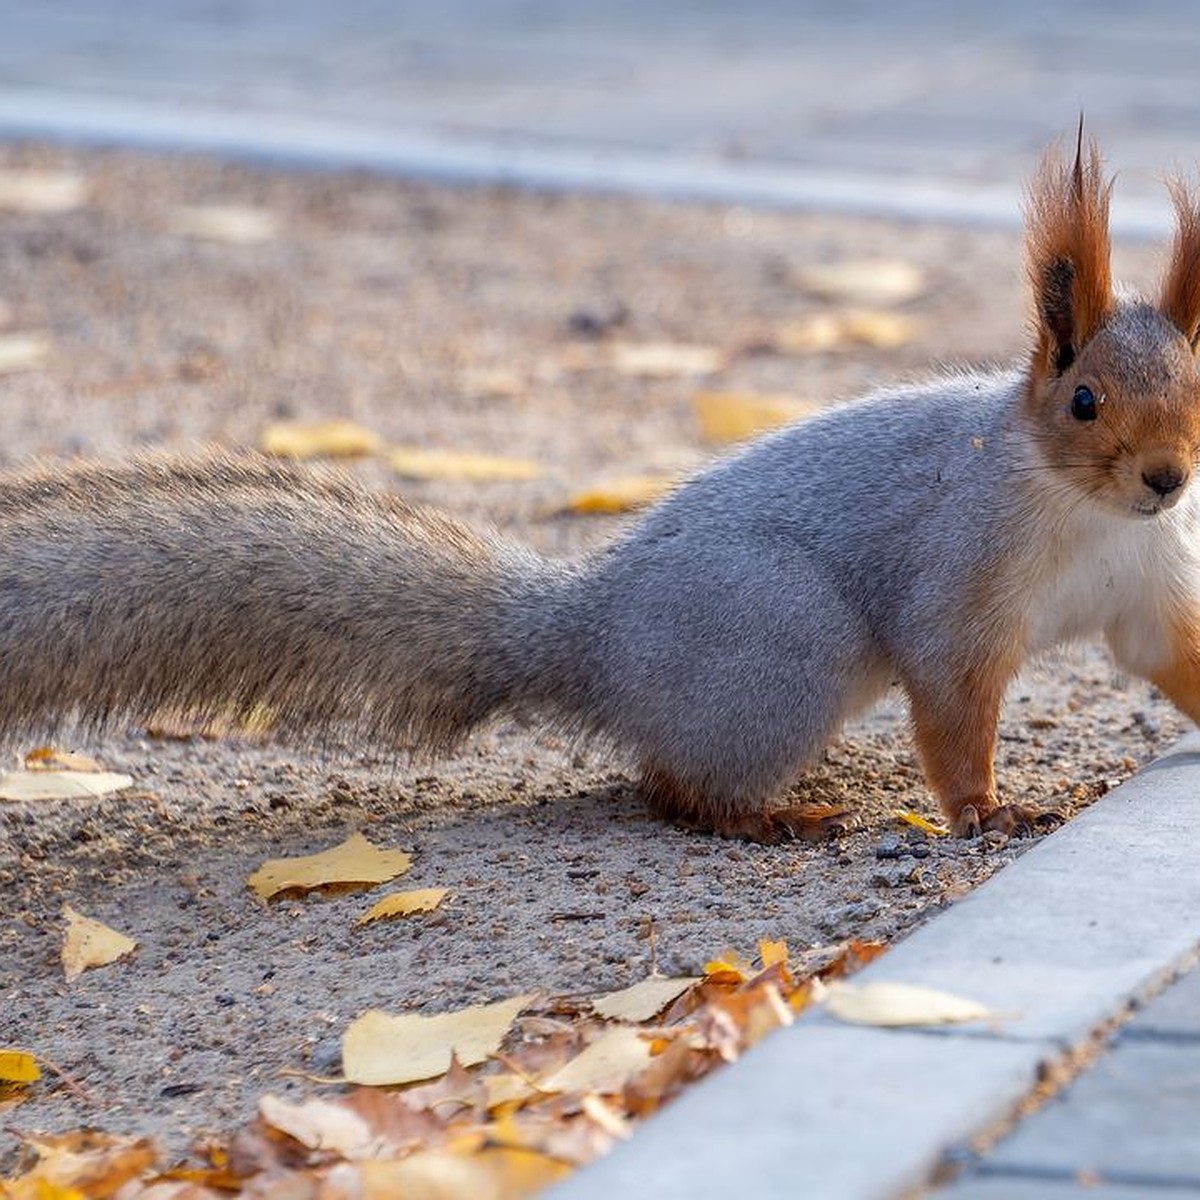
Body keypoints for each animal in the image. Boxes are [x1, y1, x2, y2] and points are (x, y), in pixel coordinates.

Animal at [2, 131, 1200, 844]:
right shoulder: (962, 576)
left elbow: (1169, 655)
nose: (1168, 478)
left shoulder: (1151, 583)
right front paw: (990, 811)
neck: (1090, 516)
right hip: (781, 647)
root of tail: (590, 634)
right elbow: (952, 703)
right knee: (670, 788)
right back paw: (773, 820)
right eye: (1083, 400)